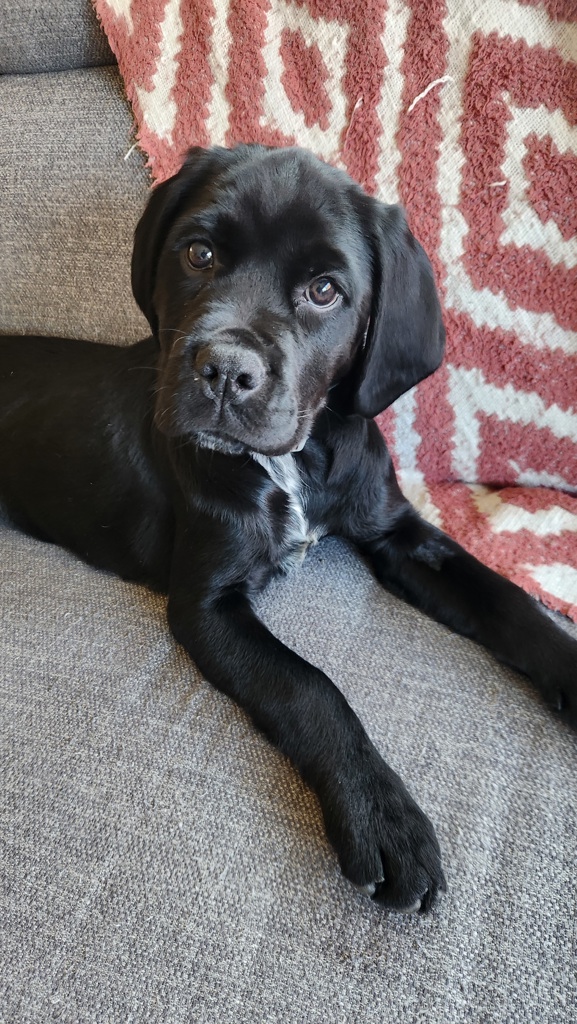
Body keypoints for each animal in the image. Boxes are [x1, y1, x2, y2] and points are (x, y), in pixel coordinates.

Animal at [1, 144, 575, 914]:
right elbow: (309, 687)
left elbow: (507, 600)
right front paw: (380, 814)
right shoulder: (207, 604)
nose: (222, 370)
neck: (292, 462)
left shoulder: (399, 534)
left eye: (325, 290)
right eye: (200, 252)